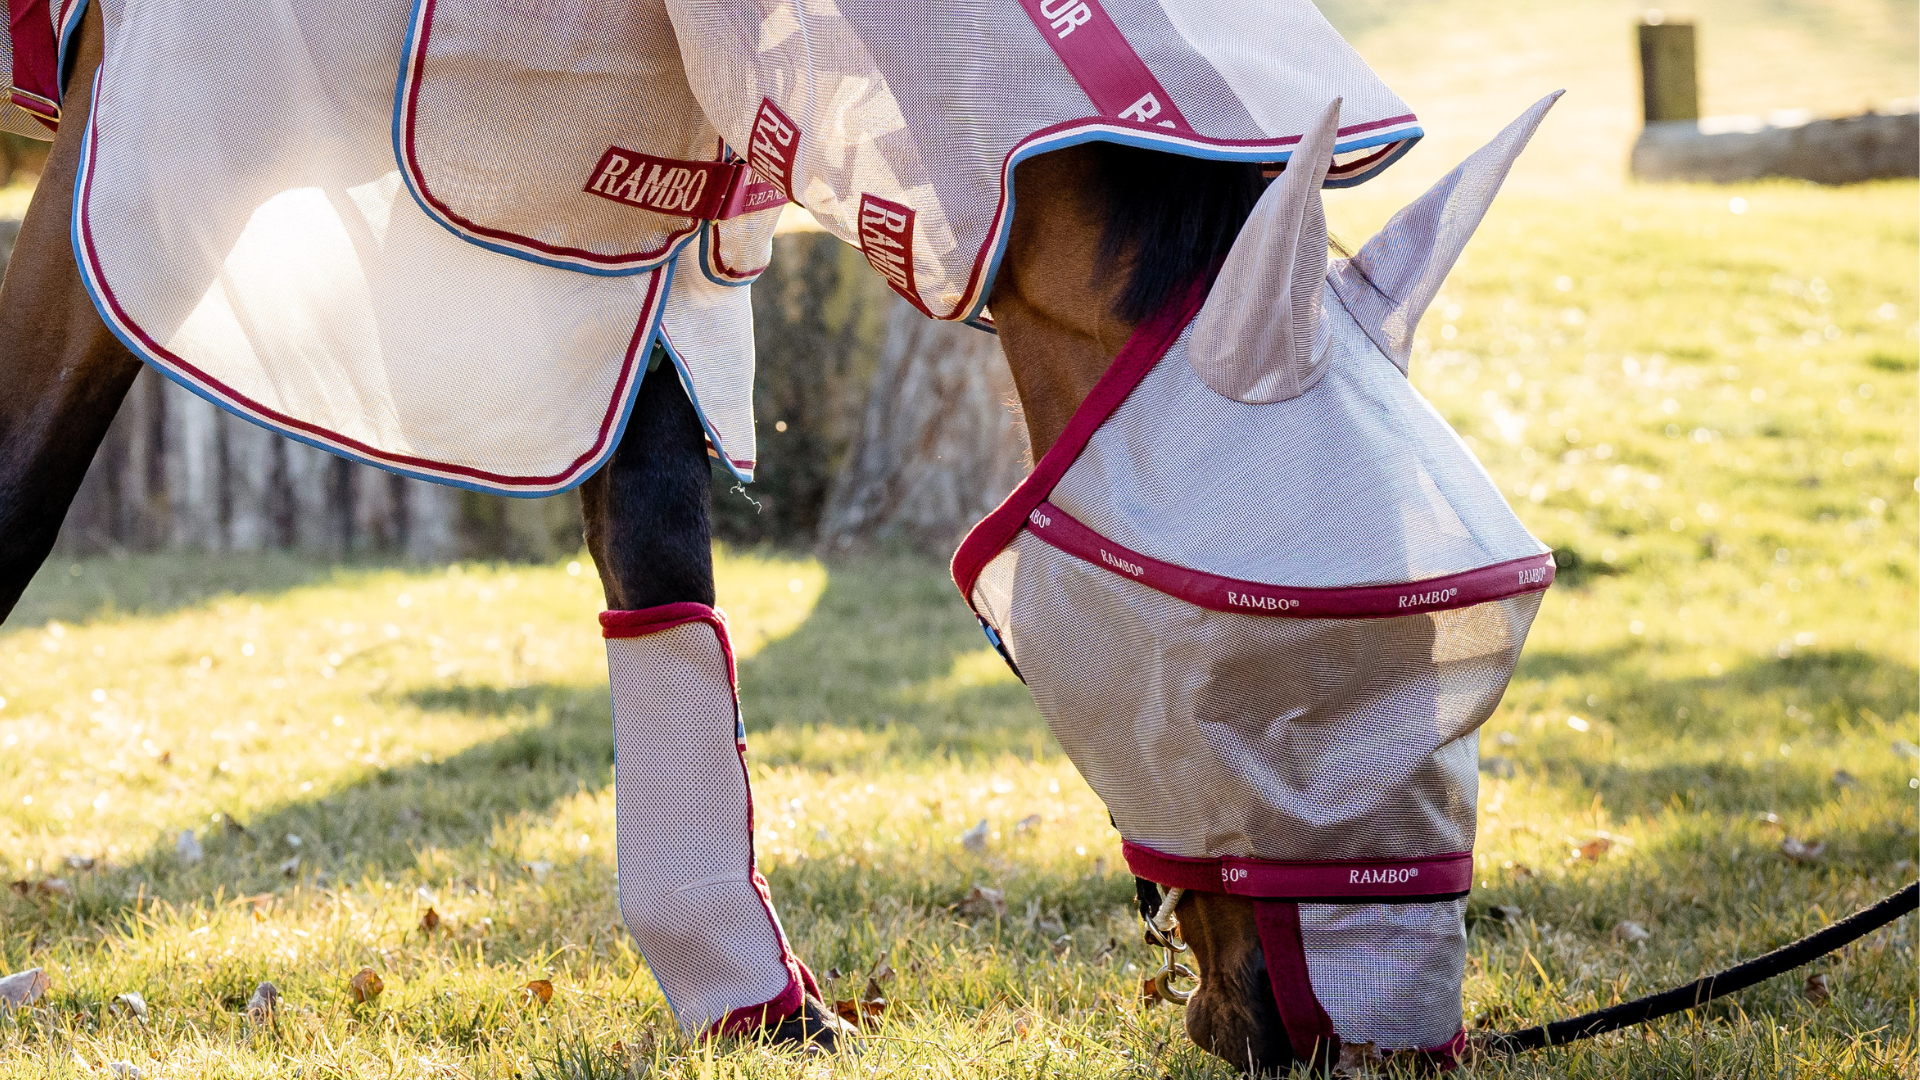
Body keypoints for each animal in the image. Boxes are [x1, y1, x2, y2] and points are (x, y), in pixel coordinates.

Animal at [0, 8, 1296, 1070]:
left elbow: (661, 558)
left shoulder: (643, 275)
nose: (1281, 1029)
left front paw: (762, 1004)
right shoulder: (127, 160)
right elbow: (22, 484)